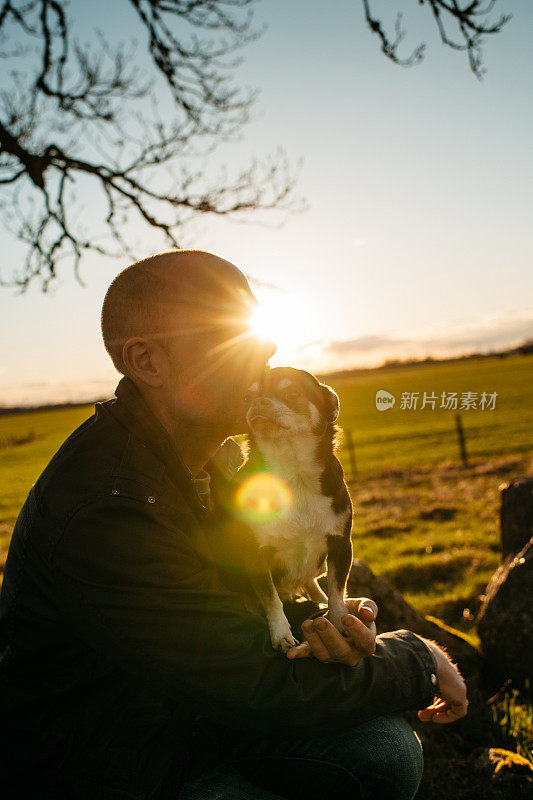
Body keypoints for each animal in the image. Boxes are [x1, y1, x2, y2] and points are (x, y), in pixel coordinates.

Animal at [208, 366, 354, 652]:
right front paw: (281, 633)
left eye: (292, 393)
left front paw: (340, 620)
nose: (258, 402)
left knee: (311, 579)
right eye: (247, 397)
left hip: (320, 562)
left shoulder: (341, 545)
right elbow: (270, 597)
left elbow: (337, 590)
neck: (293, 474)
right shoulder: (254, 554)